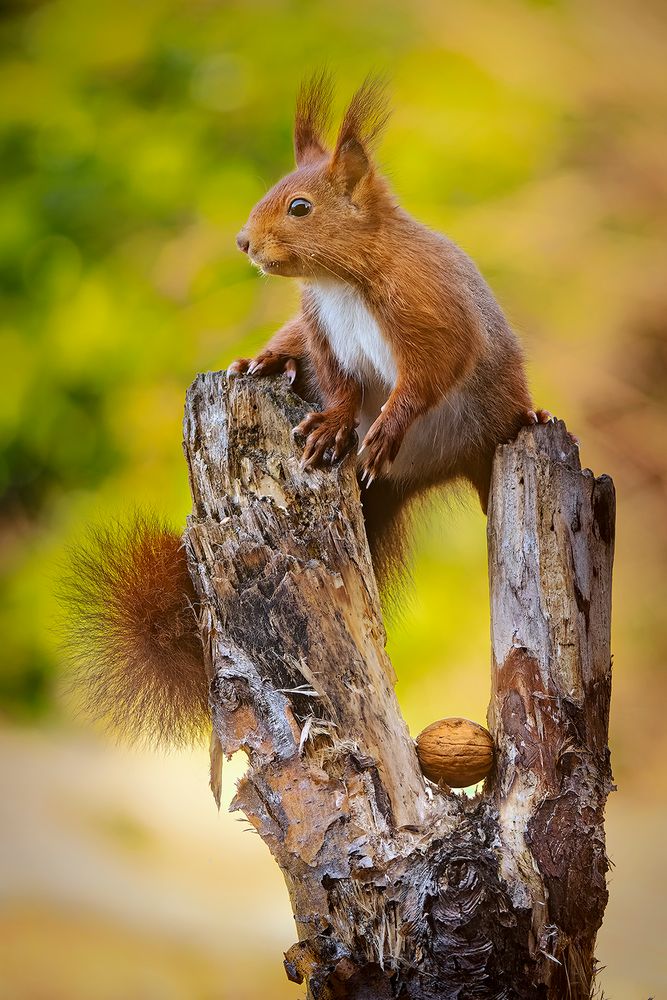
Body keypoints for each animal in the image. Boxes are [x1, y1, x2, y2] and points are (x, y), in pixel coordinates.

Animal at [66, 76, 548, 744]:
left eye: (300, 207)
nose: (244, 242)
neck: (343, 280)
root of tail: (413, 475)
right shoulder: (323, 332)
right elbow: (339, 384)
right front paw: (330, 425)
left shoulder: (431, 313)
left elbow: (427, 377)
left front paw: (383, 428)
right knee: (292, 351)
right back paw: (264, 364)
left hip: (487, 431)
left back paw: (521, 423)